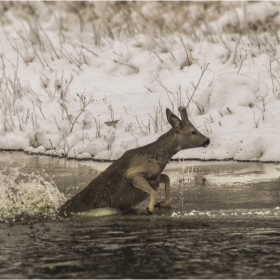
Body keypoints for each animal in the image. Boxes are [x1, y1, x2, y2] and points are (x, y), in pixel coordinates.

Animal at [57, 106, 210, 218]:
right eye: (193, 131)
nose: (207, 140)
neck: (158, 157)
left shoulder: (155, 176)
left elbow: (166, 178)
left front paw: (164, 204)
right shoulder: (133, 173)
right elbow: (153, 189)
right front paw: (150, 208)